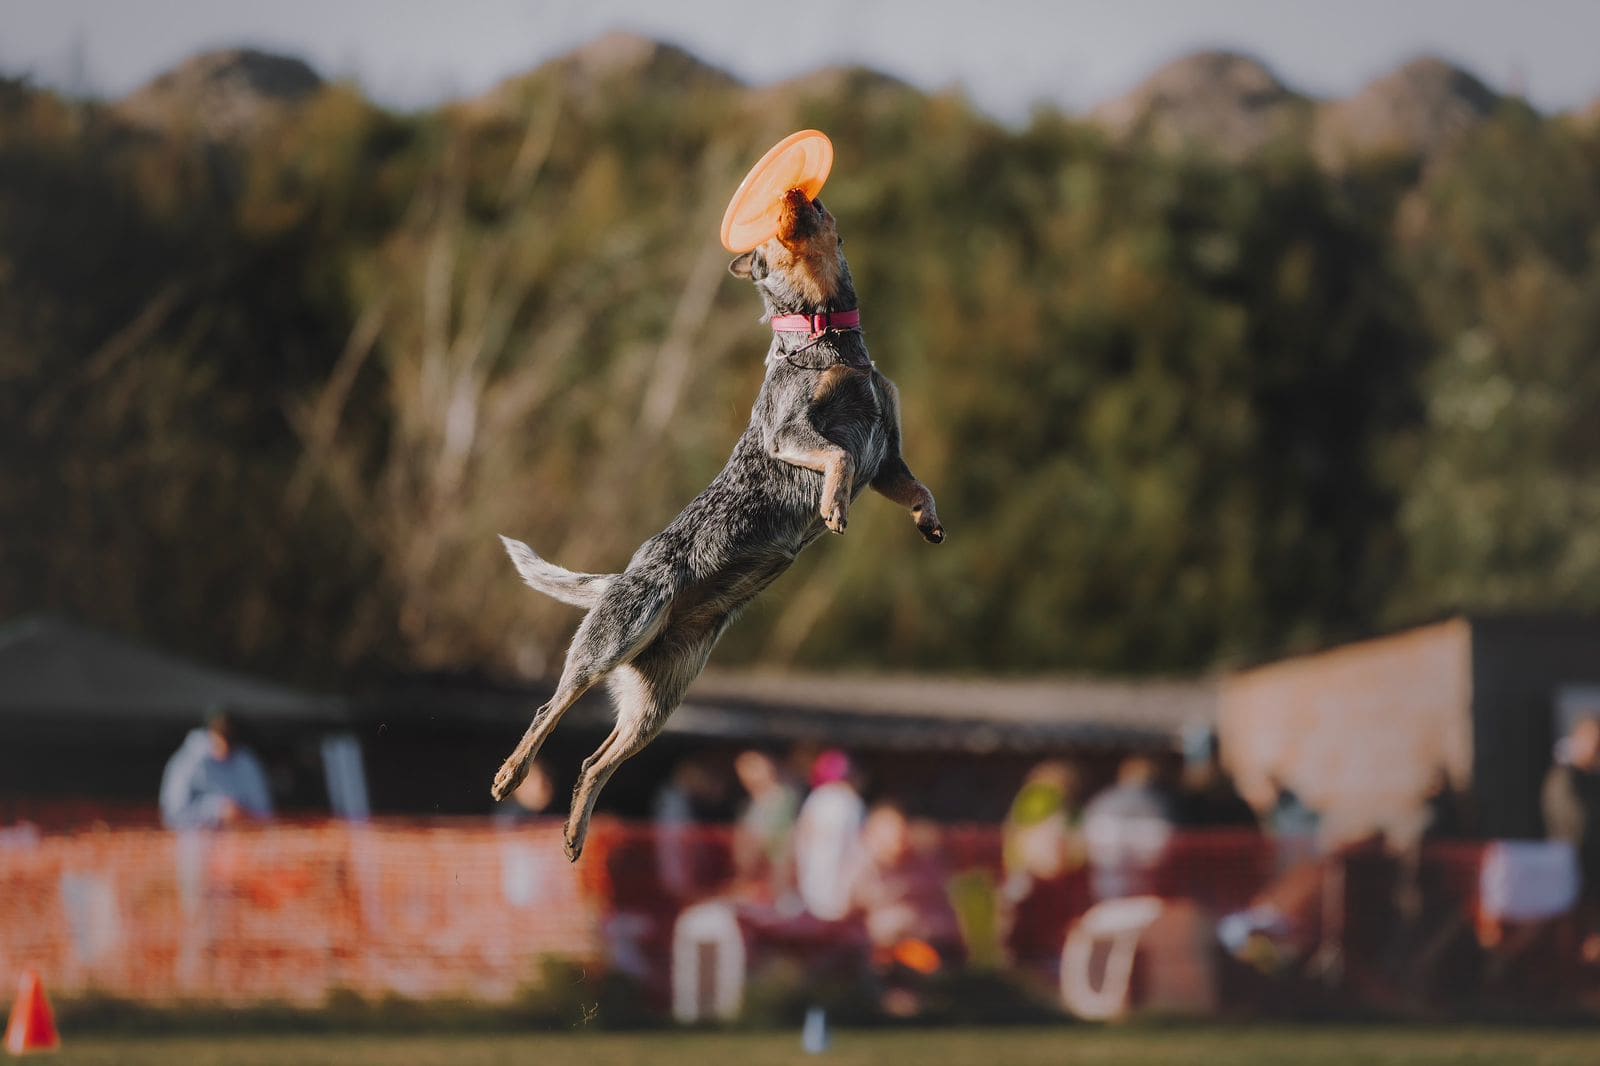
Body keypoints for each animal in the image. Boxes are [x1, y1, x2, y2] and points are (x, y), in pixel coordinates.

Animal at [492, 189, 943, 861]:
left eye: (820, 209)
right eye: (771, 236)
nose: (796, 194)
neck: (826, 336)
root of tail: (619, 579)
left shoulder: (887, 455)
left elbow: (916, 486)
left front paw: (927, 520)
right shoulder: (790, 433)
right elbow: (835, 458)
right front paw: (833, 507)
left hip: (658, 701)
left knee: (595, 763)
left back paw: (574, 835)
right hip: (613, 638)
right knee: (551, 707)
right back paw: (511, 773)